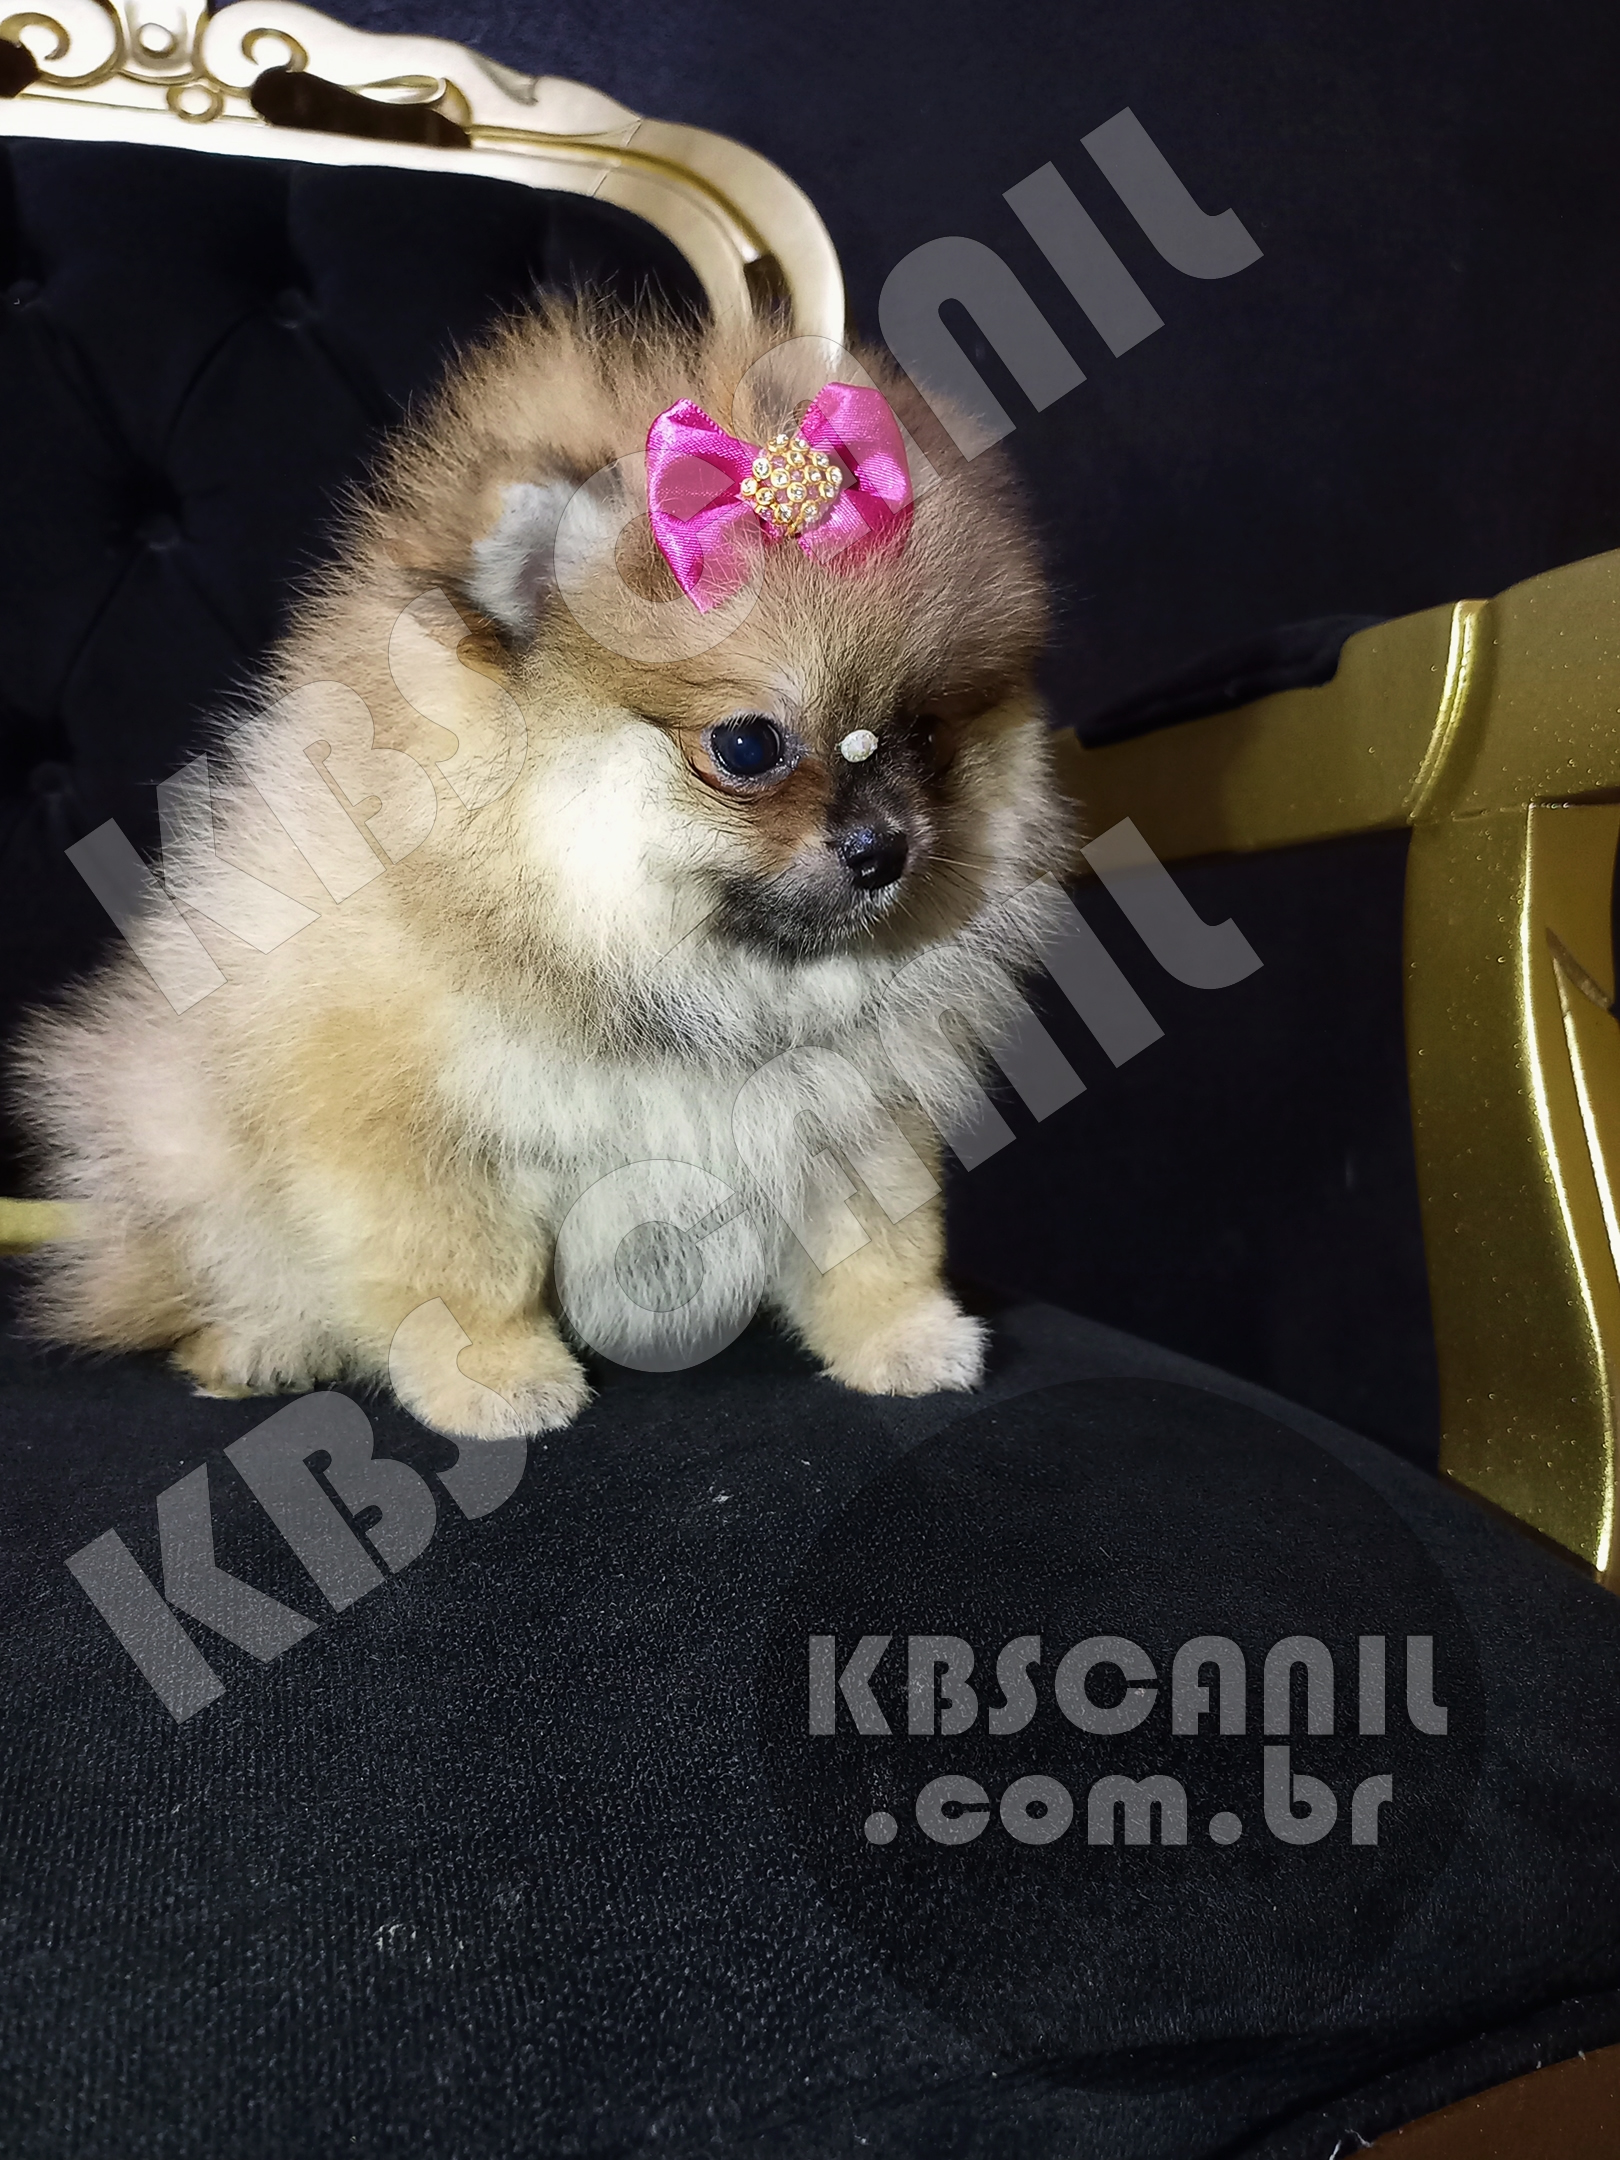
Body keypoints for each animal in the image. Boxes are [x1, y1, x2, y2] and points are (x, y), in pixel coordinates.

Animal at [14, 301, 1074, 1439]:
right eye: (749, 744)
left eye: (925, 734)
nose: (886, 850)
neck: (682, 982)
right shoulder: (410, 1132)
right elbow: (462, 1269)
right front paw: (494, 1377)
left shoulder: (859, 1117)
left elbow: (876, 1244)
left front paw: (904, 1337)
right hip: (180, 1142)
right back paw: (260, 1343)